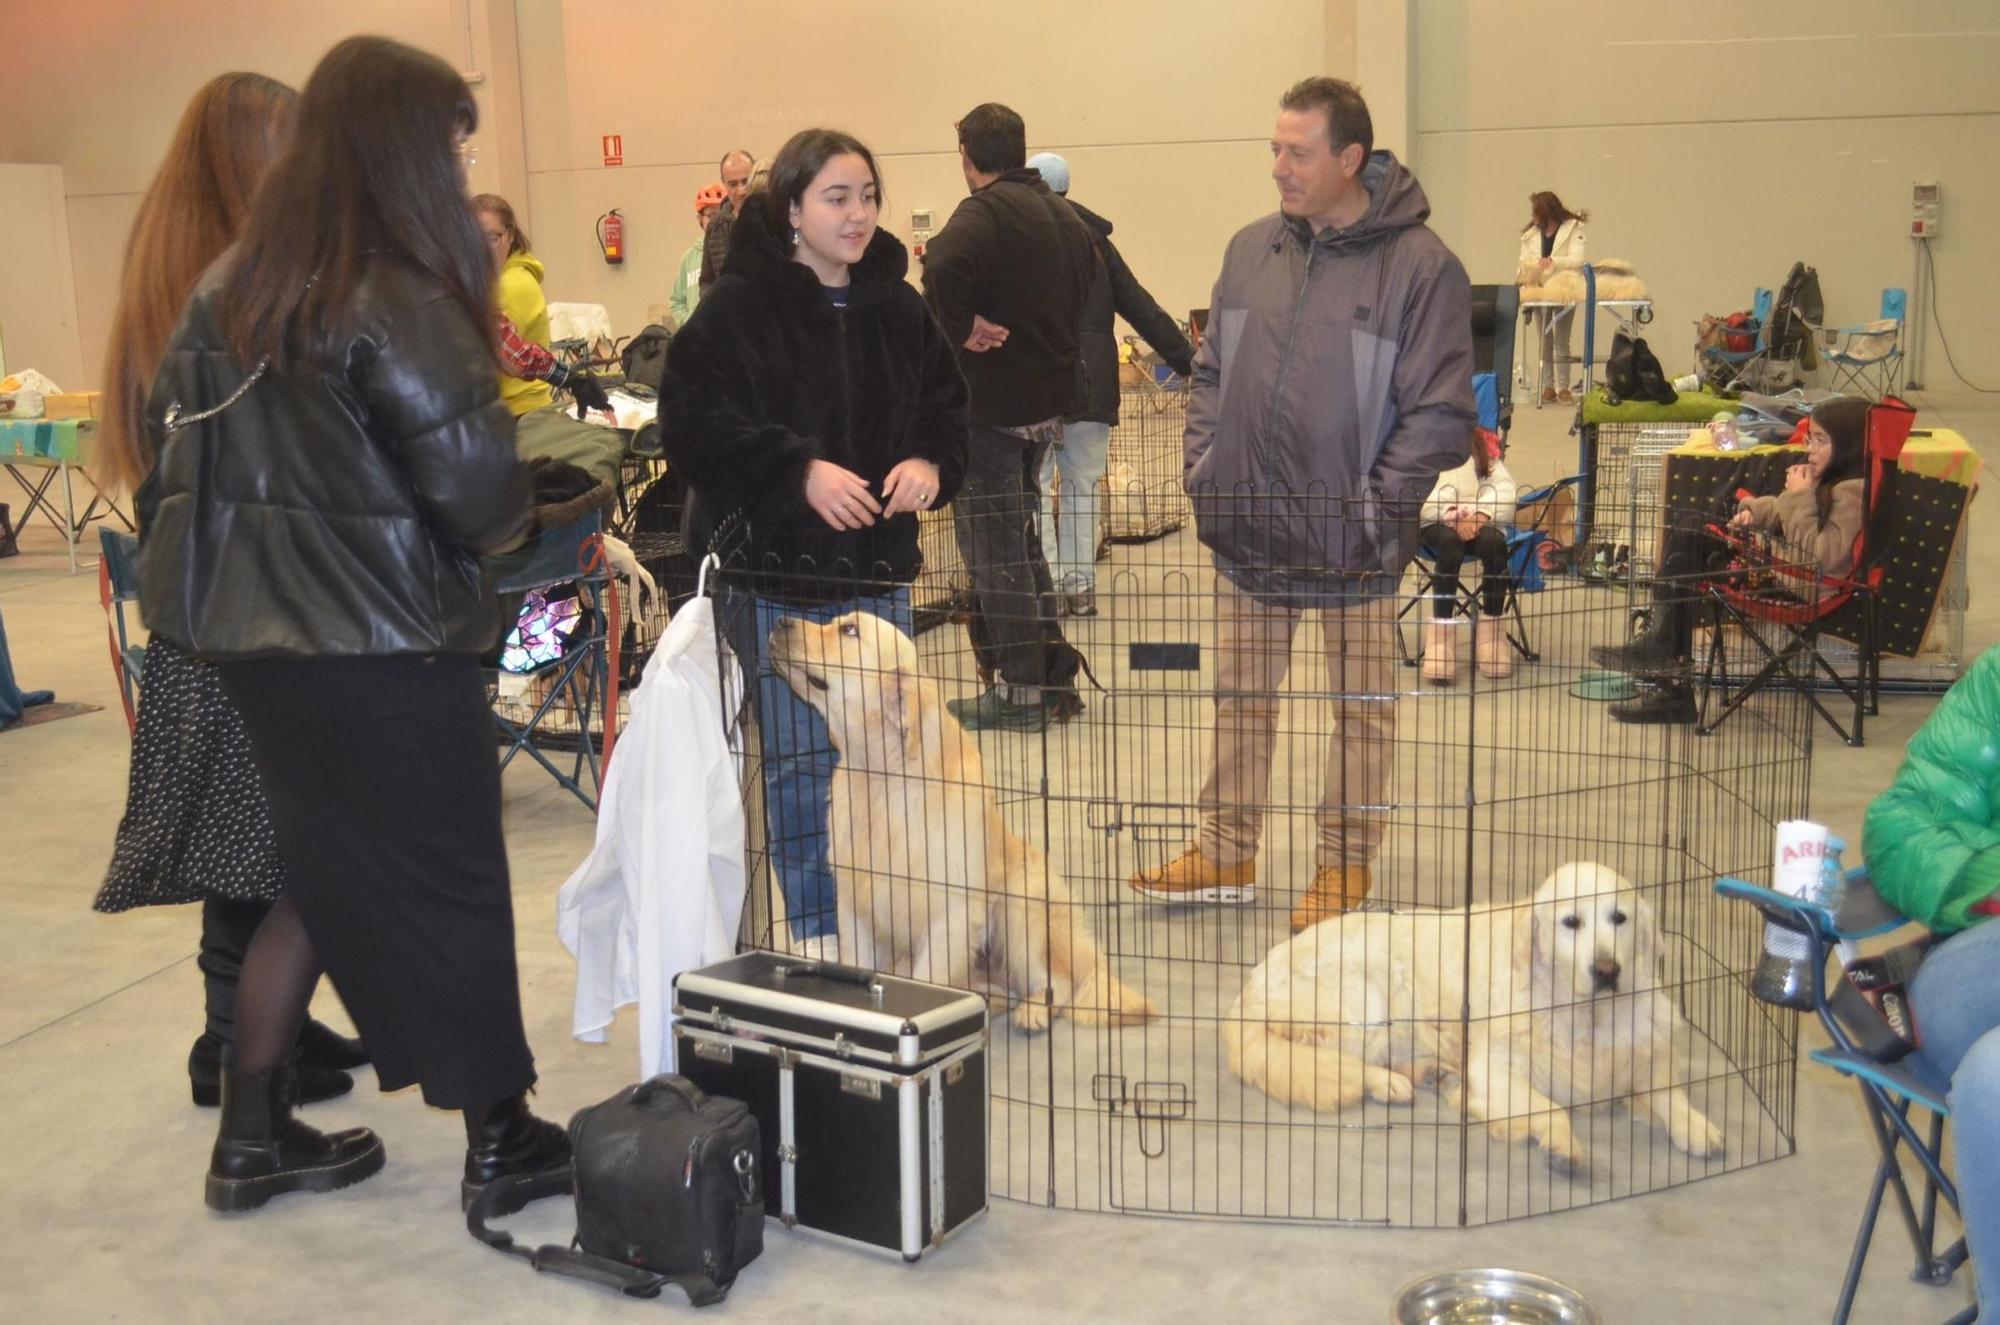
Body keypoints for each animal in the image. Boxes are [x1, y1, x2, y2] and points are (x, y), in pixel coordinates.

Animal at [760, 616, 1160, 1040]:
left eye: (849, 631)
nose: (782, 621)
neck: (886, 777)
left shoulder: (948, 916)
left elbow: (928, 978)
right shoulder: (856, 906)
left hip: (1020, 909)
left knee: (1057, 983)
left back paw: (1033, 1011)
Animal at [1224, 868, 1728, 1176]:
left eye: (1619, 917)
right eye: (1571, 922)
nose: (1607, 971)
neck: (1583, 1015)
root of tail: (1249, 987)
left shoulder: (1640, 1058)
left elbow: (1669, 1092)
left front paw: (1698, 1126)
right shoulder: (1495, 1070)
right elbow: (1551, 1106)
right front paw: (1561, 1144)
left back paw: (1428, 1072)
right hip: (1369, 994)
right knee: (1330, 1058)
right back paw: (1392, 1082)